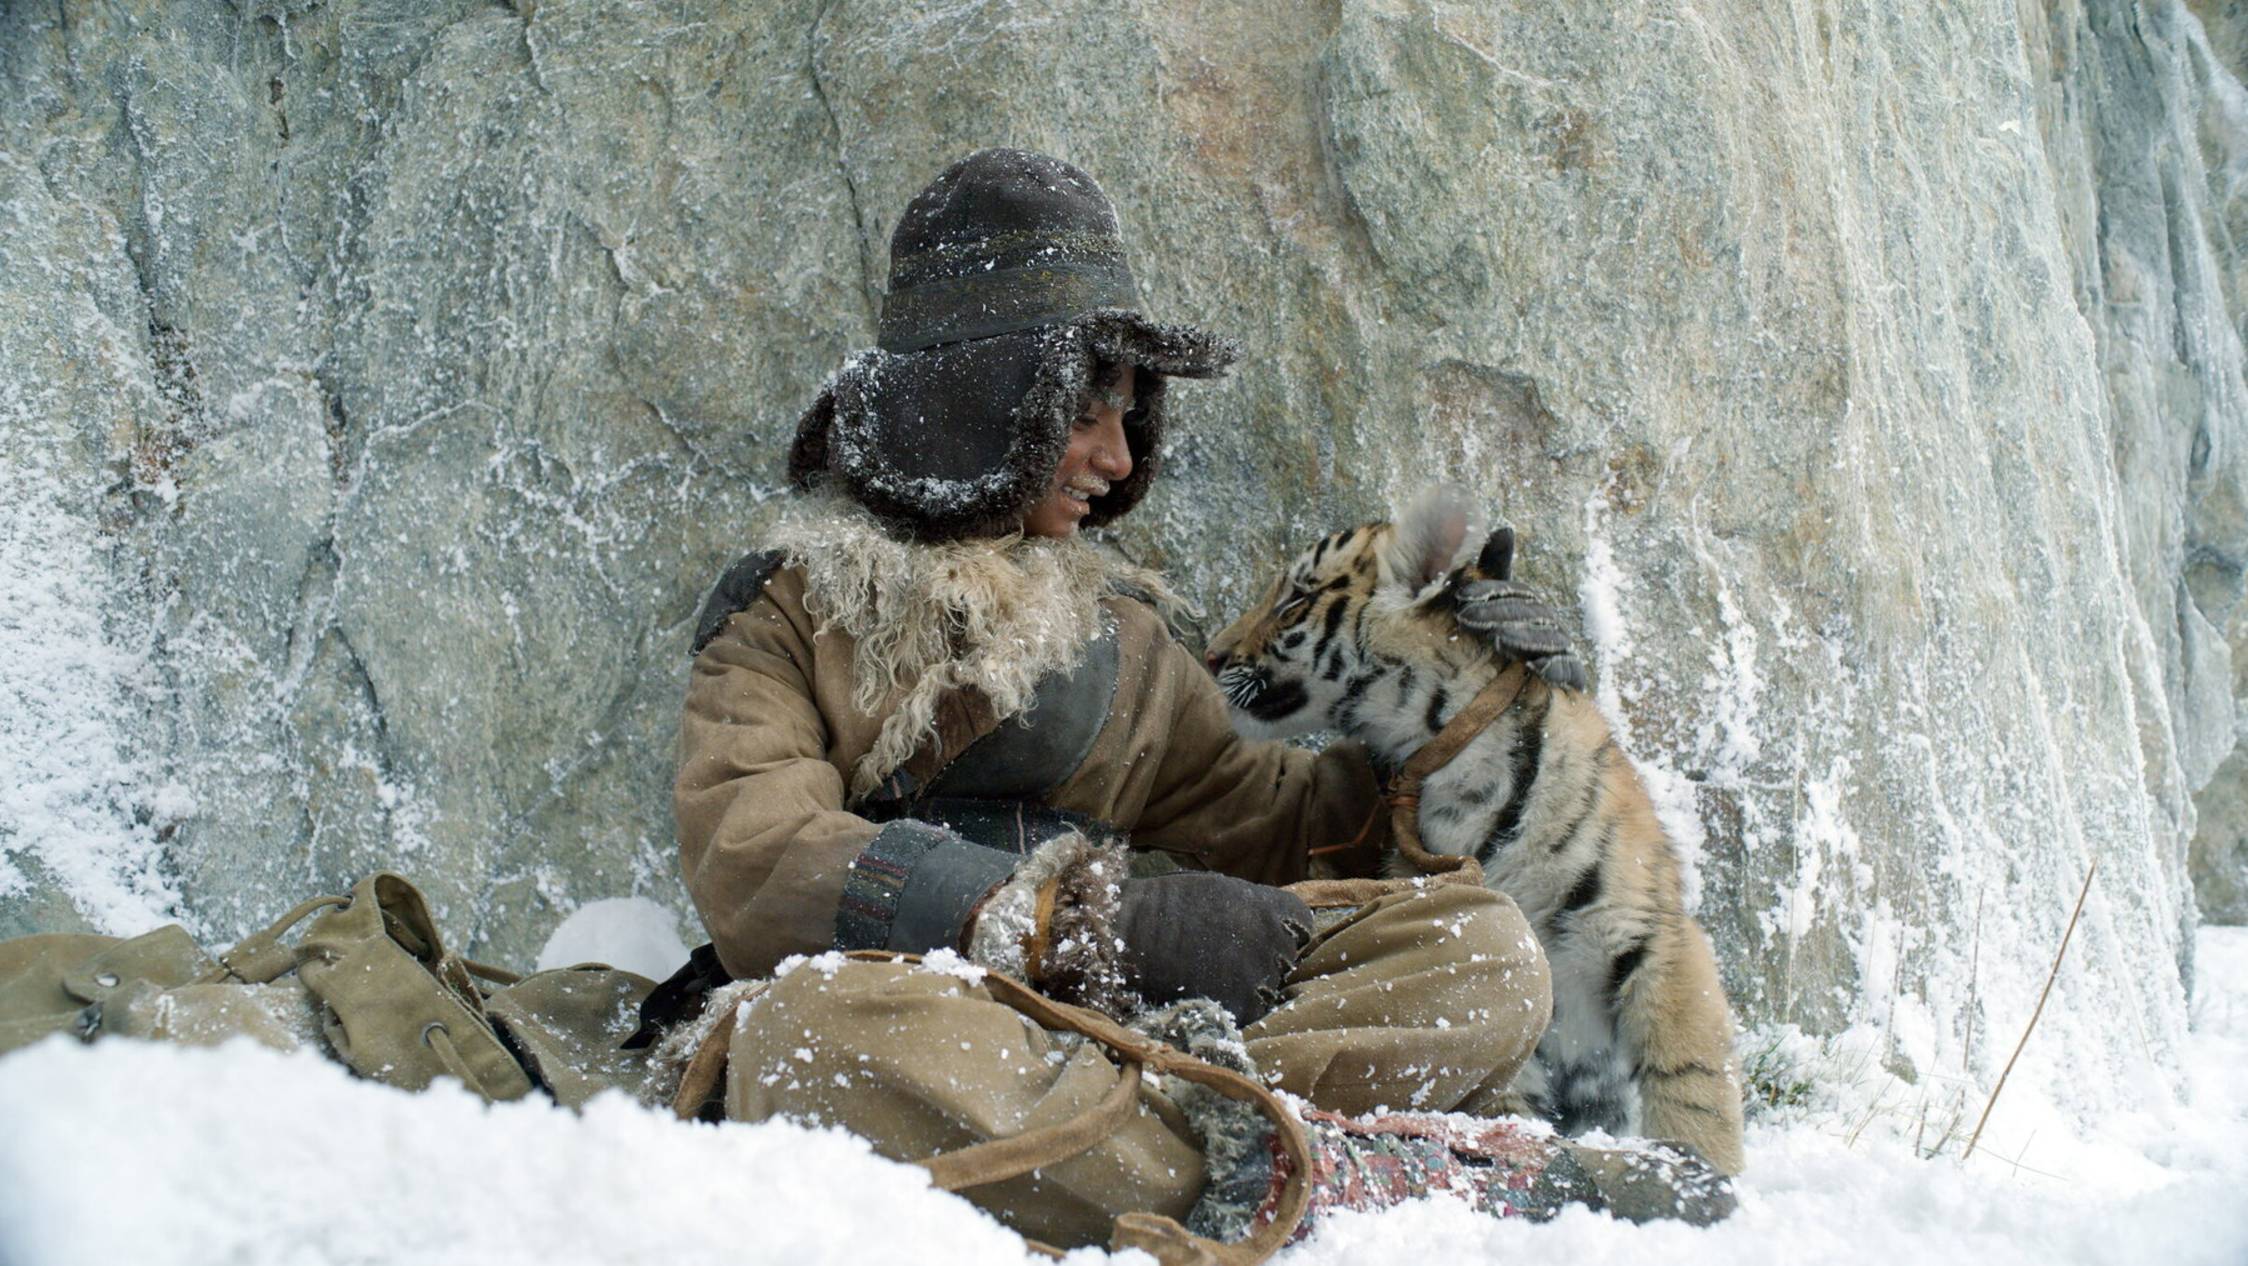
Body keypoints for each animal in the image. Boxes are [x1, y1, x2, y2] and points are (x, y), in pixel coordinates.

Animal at [1205, 488, 1746, 1175]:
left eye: (1295, 600)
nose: (1210, 654)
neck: (1450, 763)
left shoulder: (1655, 936)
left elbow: (1692, 1081)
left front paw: (1702, 1165)